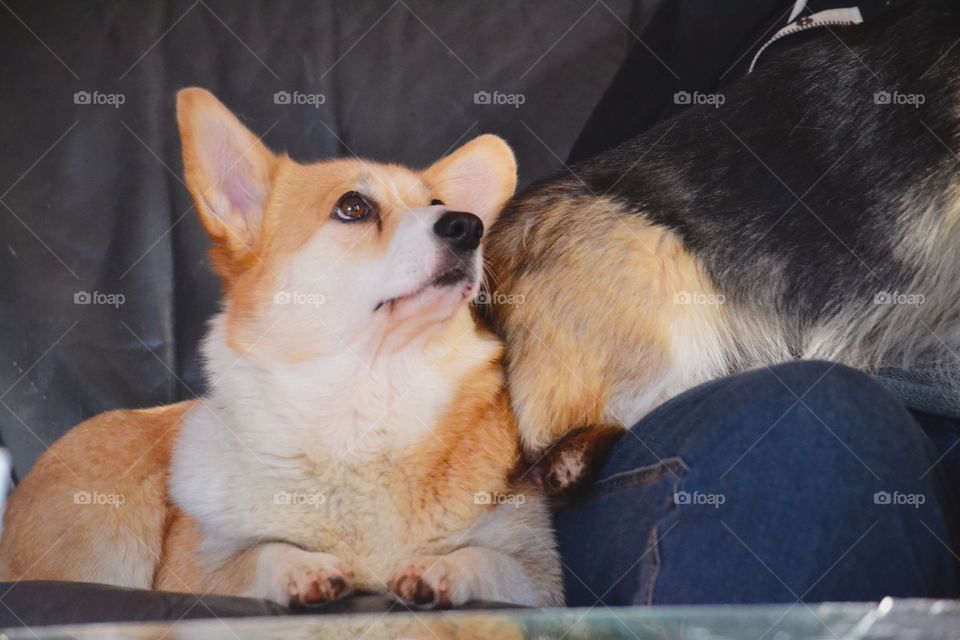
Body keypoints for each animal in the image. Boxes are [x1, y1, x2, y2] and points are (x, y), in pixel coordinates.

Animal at [0, 87, 564, 608]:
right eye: (353, 207)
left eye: (441, 207)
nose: (469, 226)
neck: (362, 406)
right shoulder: (197, 574)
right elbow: (257, 555)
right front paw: (303, 569)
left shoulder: (541, 579)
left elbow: (495, 564)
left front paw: (440, 570)